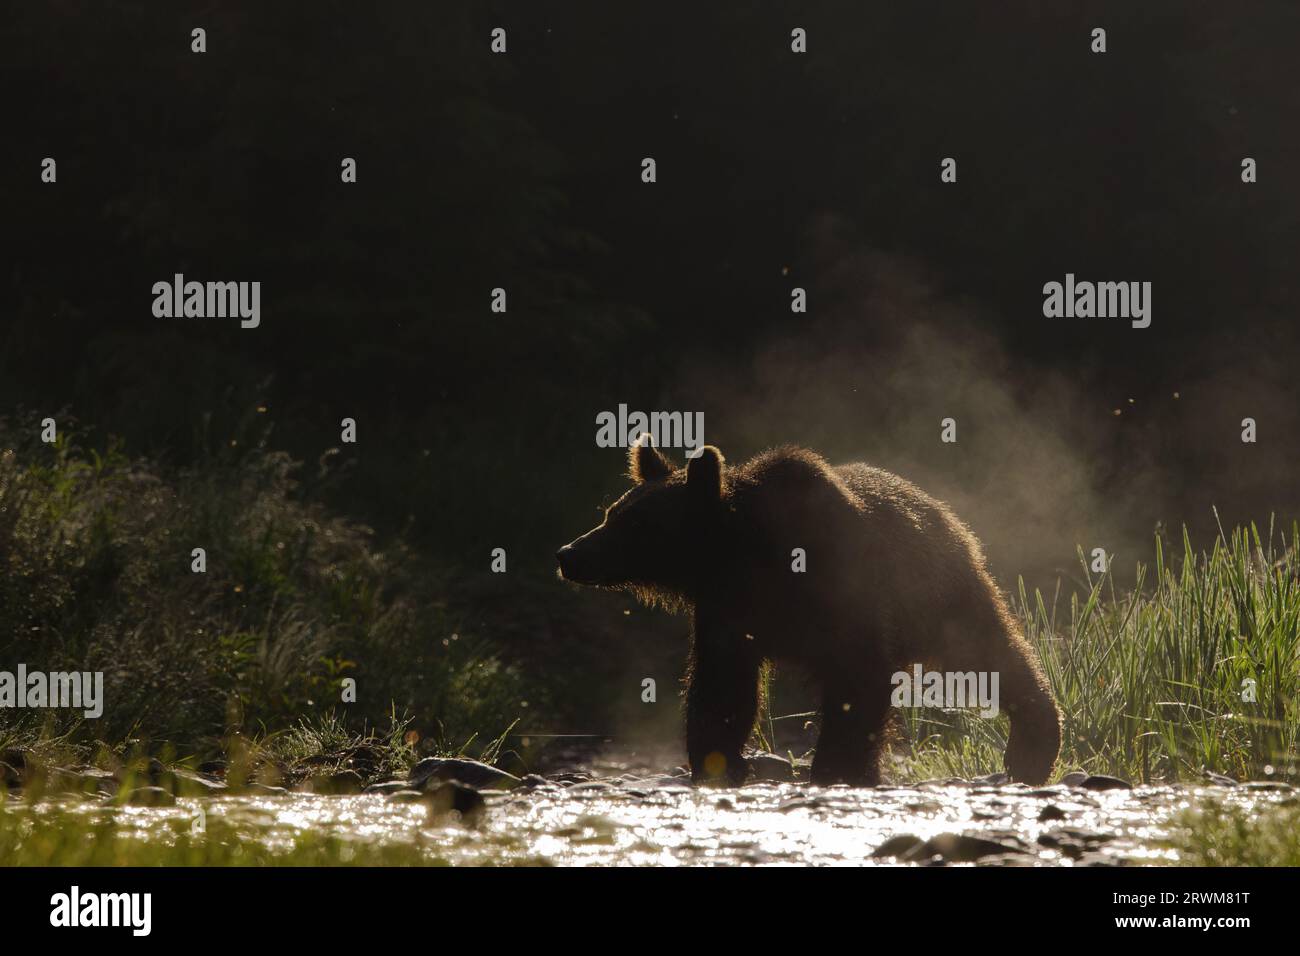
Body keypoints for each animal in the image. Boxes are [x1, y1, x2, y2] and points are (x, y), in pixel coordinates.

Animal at [553, 439, 1060, 785]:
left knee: (990, 653)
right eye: (612, 512)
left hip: (943, 593)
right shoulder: (728, 612)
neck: (747, 557)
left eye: (633, 523)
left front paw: (837, 768)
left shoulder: (842, 592)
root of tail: (943, 511)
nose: (569, 553)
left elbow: (859, 679)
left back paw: (1034, 743)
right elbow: (722, 685)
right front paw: (718, 761)